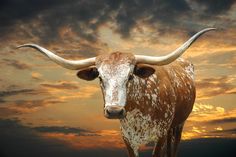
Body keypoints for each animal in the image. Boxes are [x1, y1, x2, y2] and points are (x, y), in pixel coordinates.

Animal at [16, 28, 216, 157]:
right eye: (100, 77)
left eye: (130, 76)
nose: (114, 111)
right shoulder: (127, 138)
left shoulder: (159, 134)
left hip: (179, 124)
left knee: (174, 146)